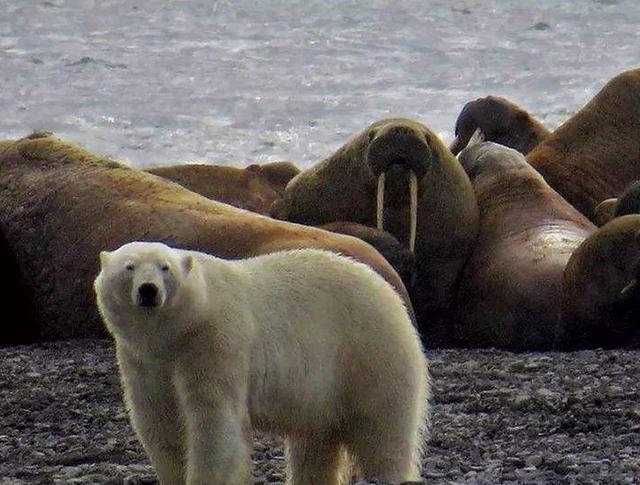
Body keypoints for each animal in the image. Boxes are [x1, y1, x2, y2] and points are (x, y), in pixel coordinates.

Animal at [92, 240, 430, 482]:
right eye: (129, 267)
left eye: (165, 268)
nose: (149, 290)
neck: (175, 332)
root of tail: (390, 292)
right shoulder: (143, 359)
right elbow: (159, 421)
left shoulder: (216, 343)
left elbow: (214, 422)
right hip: (324, 392)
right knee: (315, 443)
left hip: (368, 353)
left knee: (383, 430)